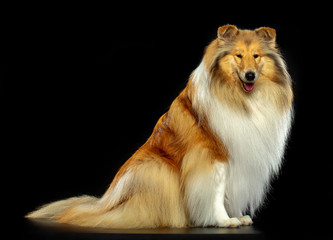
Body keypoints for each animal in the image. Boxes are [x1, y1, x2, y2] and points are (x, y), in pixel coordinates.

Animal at [28, 24, 294, 229]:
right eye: (238, 55)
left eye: (256, 56)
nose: (250, 76)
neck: (241, 98)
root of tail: (105, 202)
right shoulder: (212, 156)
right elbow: (217, 192)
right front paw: (223, 220)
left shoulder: (239, 158)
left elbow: (233, 190)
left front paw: (237, 216)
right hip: (157, 169)